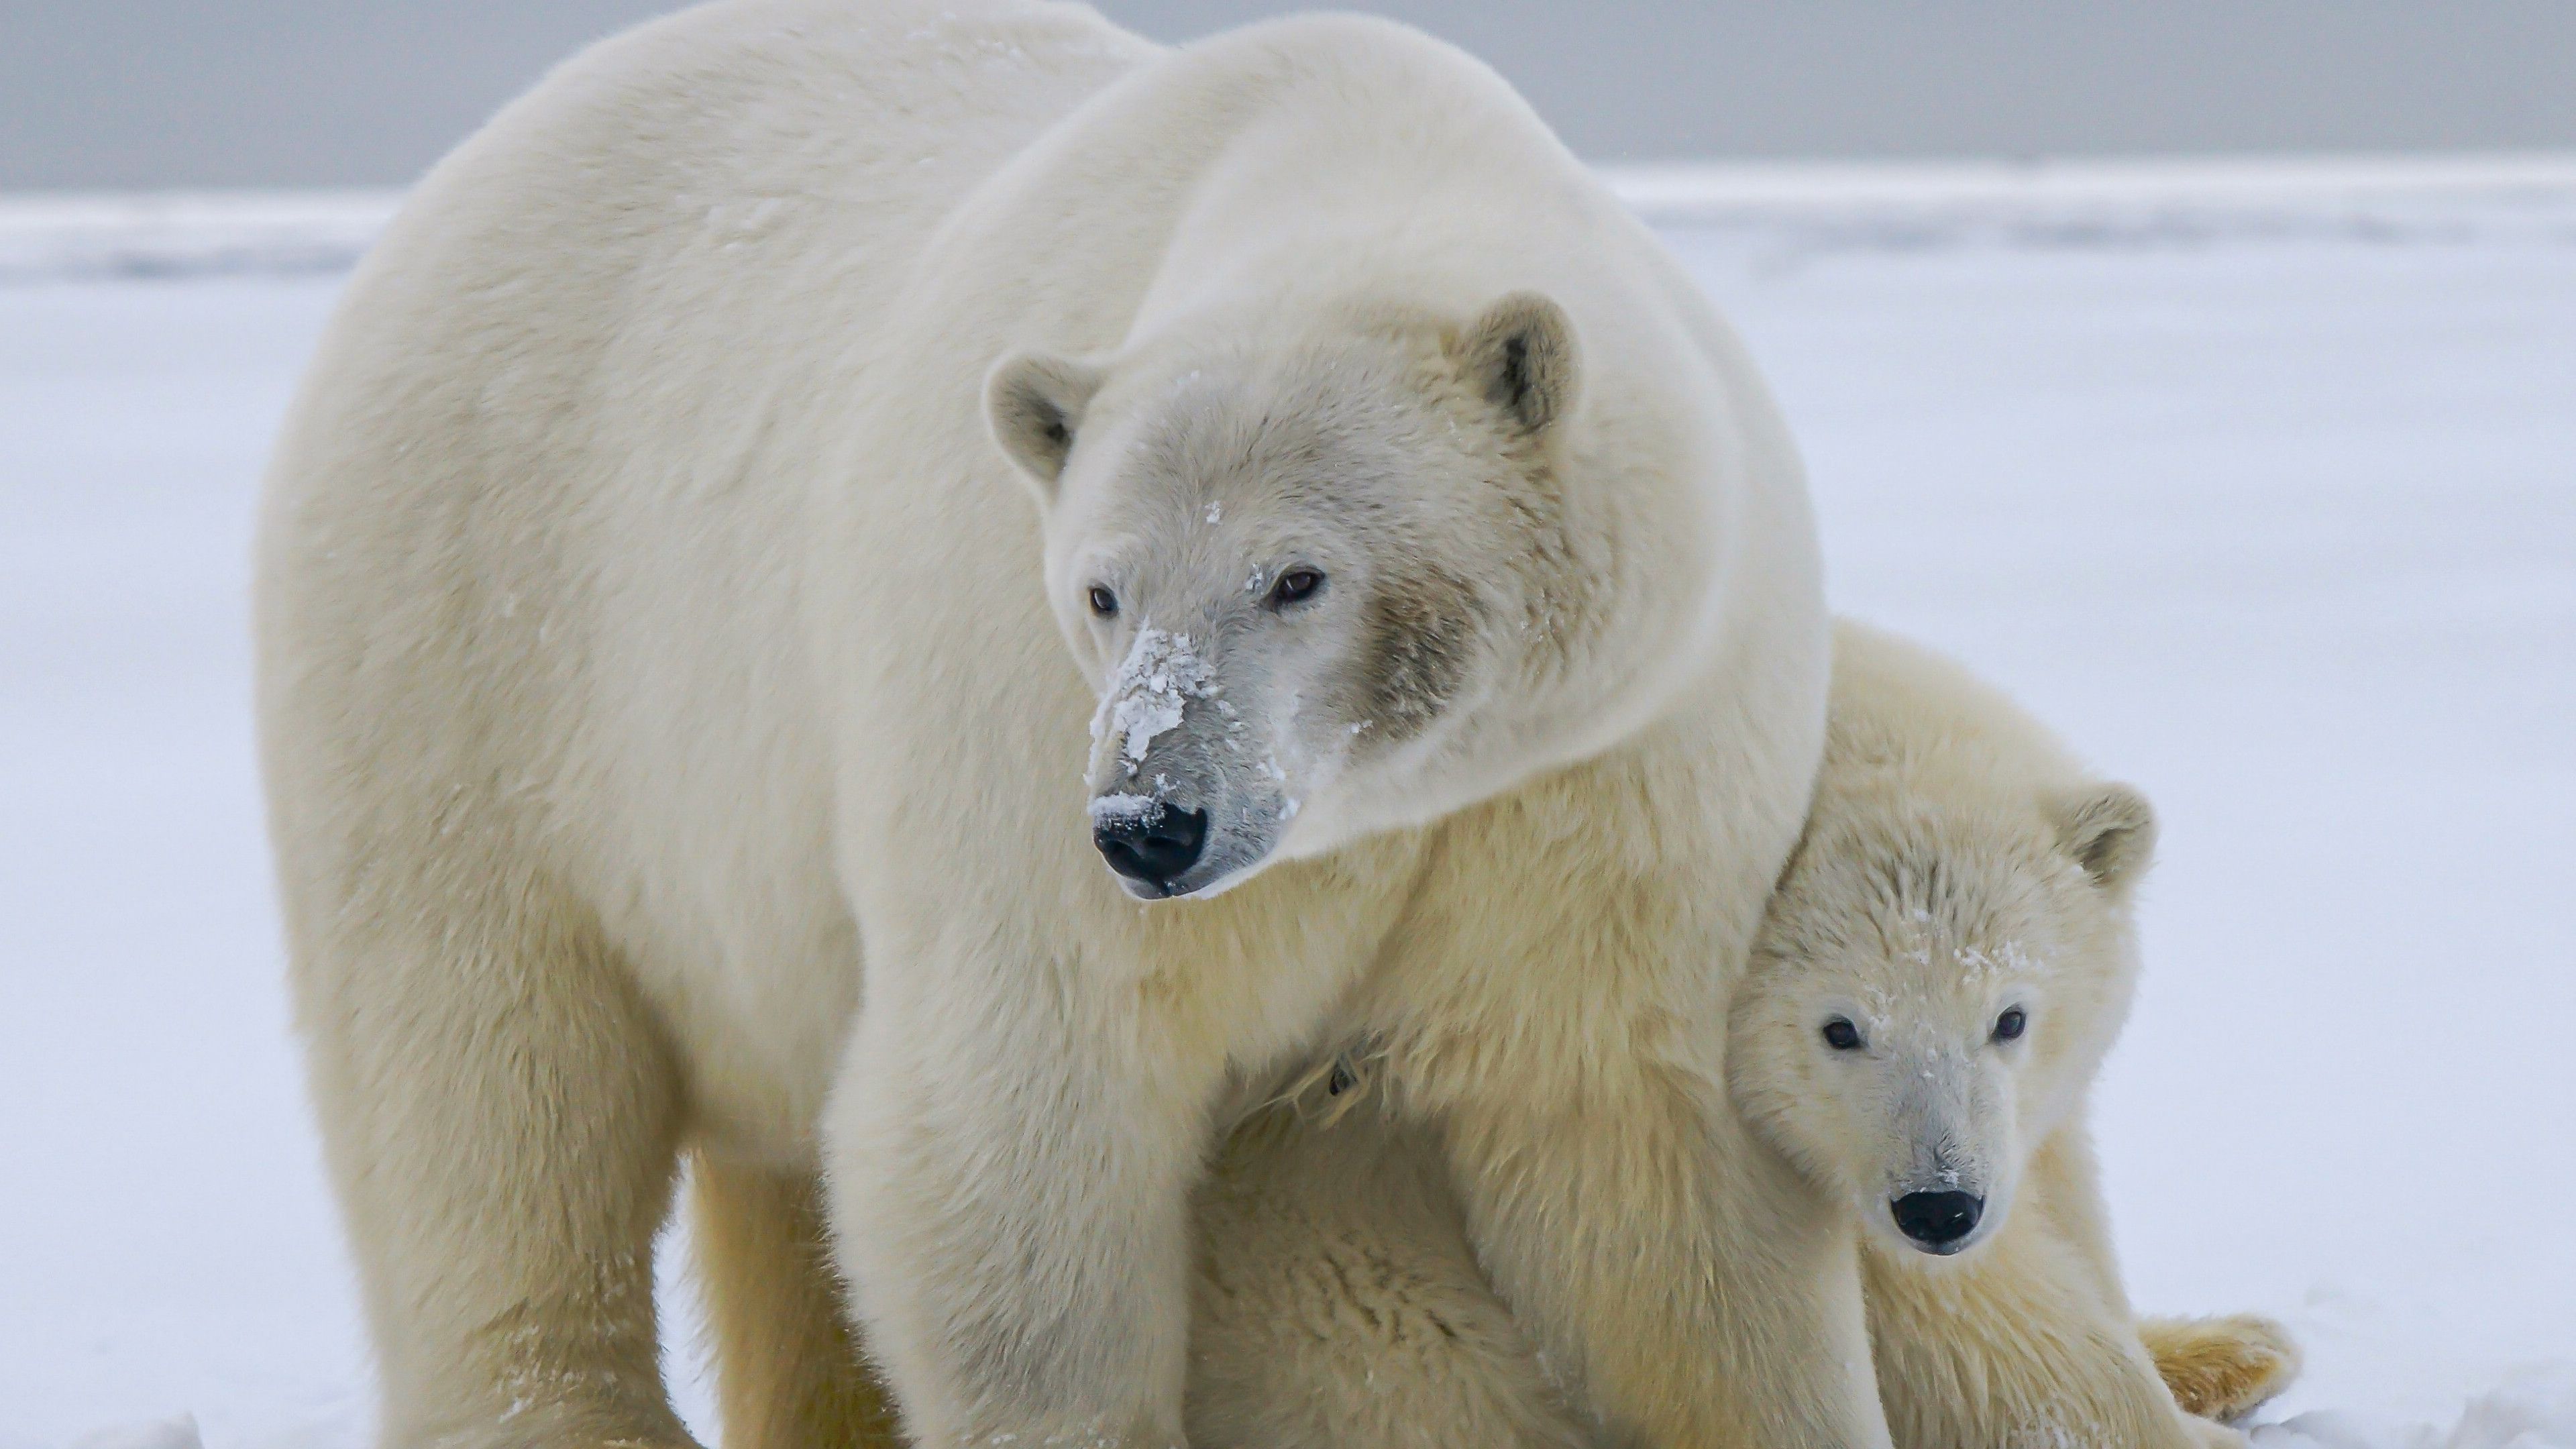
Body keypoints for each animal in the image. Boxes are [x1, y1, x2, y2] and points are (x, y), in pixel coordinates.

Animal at [261, 3, 1865, 1444]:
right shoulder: (1014, 739)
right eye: (1103, 589)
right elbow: (1024, 1136)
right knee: (487, 1091)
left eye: (1298, 576)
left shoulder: (1608, 775)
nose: (1153, 823)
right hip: (469, 649)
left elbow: (1645, 1166)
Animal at [1179, 621, 2298, 1444]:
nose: (1941, 1206)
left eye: (2011, 1017)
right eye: (1840, 1030)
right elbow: (1966, 1328)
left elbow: (2058, 1207)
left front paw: (2230, 1349)